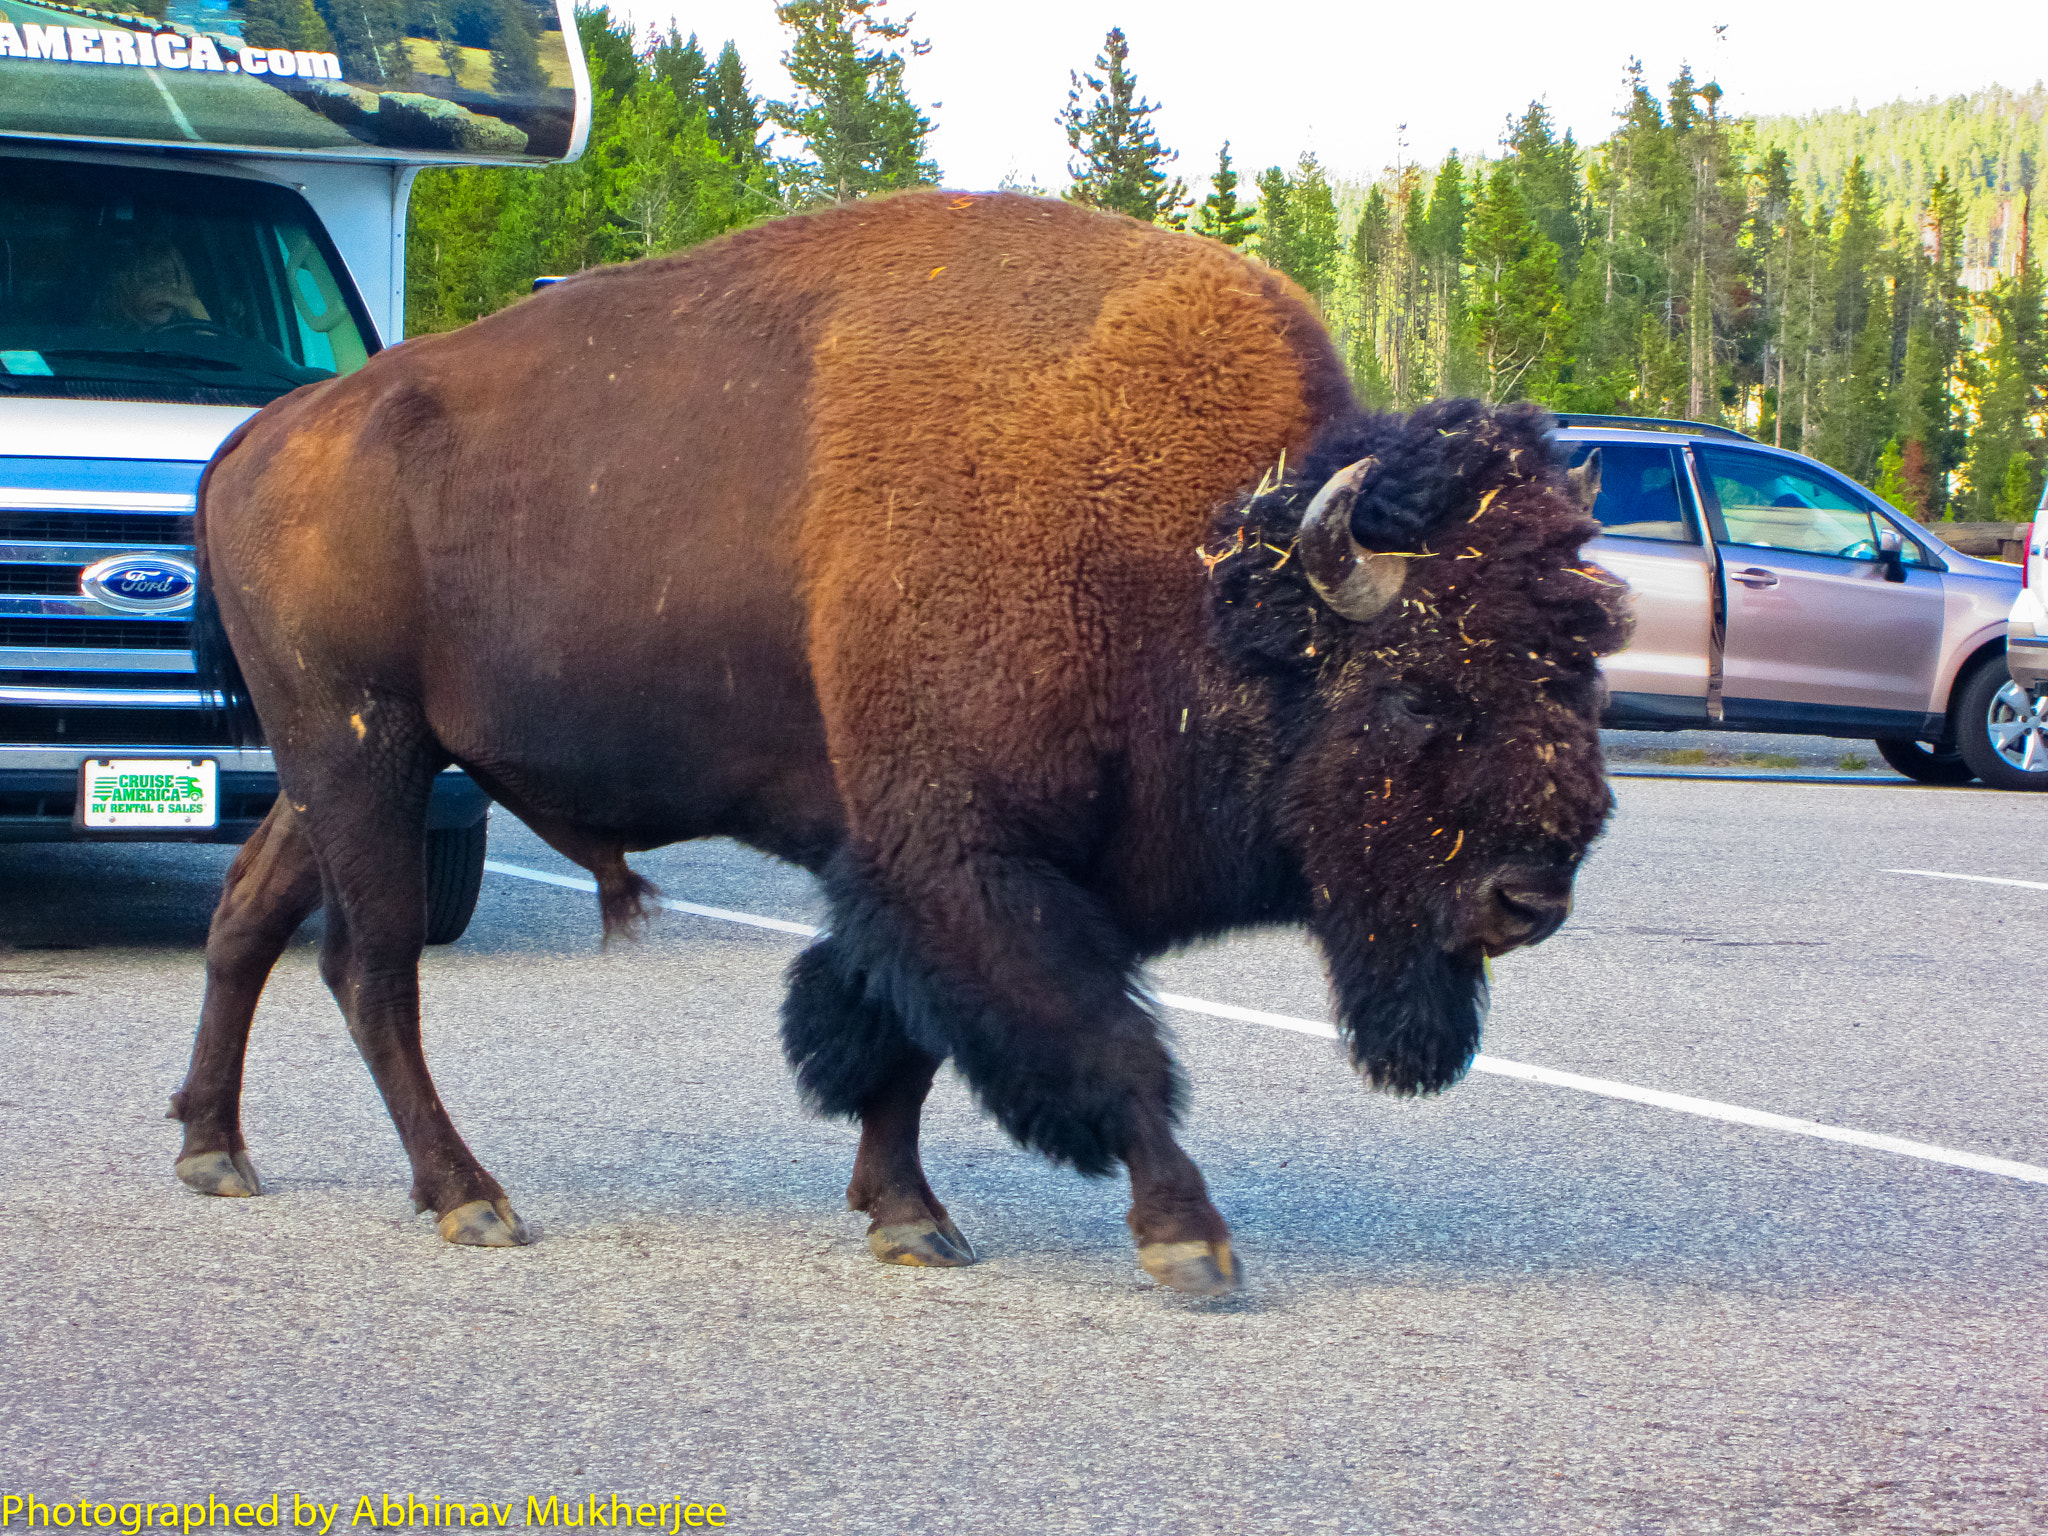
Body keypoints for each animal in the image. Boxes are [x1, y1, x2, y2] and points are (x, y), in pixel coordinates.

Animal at [167, 189, 1622, 1302]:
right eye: (1418, 693)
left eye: (1583, 671)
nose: (1531, 899)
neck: (1198, 567)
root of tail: (265, 436)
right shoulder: (965, 857)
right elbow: (1100, 1043)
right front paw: (1189, 1243)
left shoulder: (936, 871)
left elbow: (897, 1041)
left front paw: (911, 1218)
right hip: (363, 750)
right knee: (372, 965)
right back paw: (469, 1198)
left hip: (354, 763)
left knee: (249, 916)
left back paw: (214, 1151)